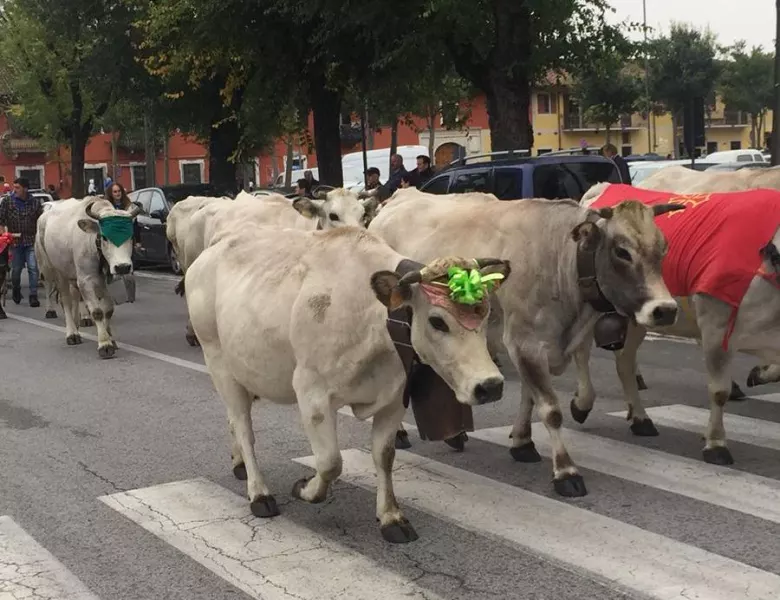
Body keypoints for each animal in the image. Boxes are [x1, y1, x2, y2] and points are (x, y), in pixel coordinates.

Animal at [34, 197, 142, 358]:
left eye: (131, 236)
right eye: (104, 237)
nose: (123, 267)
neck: (94, 243)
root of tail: (45, 214)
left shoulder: (104, 281)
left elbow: (108, 309)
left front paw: (111, 338)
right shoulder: (86, 280)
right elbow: (97, 312)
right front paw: (104, 344)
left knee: (74, 296)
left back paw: (78, 322)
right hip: (53, 269)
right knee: (63, 299)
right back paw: (71, 332)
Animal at [184, 225, 512, 544]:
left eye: (486, 314)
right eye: (437, 321)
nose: (490, 385)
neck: (372, 318)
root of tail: (209, 252)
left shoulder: (394, 398)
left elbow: (384, 455)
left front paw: (391, 517)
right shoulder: (312, 392)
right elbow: (330, 462)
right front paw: (306, 489)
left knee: (233, 420)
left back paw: (239, 462)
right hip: (218, 361)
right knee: (243, 426)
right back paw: (259, 493)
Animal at [370, 189, 684, 496]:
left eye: (664, 248)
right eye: (622, 251)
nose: (665, 309)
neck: (558, 257)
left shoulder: (543, 345)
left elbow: (531, 397)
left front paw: (523, 442)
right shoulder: (525, 342)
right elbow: (550, 409)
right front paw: (566, 471)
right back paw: (400, 433)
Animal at [572, 183, 780, 464]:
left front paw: (759, 373)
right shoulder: (716, 328)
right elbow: (719, 391)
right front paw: (716, 444)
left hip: (639, 317)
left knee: (624, 361)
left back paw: (641, 419)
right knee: (582, 352)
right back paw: (582, 404)